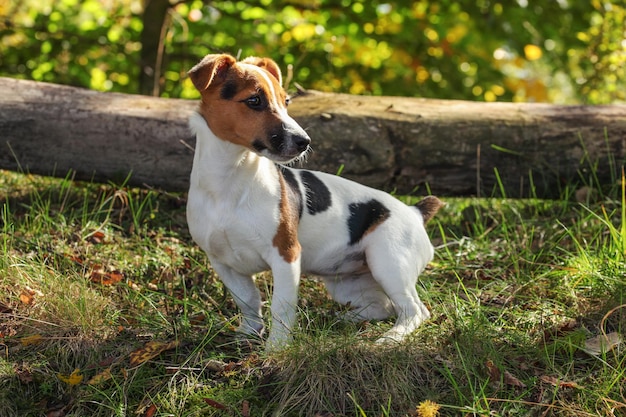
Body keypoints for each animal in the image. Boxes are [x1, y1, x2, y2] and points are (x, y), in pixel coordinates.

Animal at [183, 53, 442, 350]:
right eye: (254, 100)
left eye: (286, 101)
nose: (304, 141)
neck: (231, 178)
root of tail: (415, 212)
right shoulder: (222, 262)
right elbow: (247, 301)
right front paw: (248, 334)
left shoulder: (285, 255)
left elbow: (281, 307)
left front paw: (276, 349)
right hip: (347, 283)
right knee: (383, 307)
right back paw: (342, 321)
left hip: (389, 263)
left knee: (414, 310)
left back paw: (390, 338)